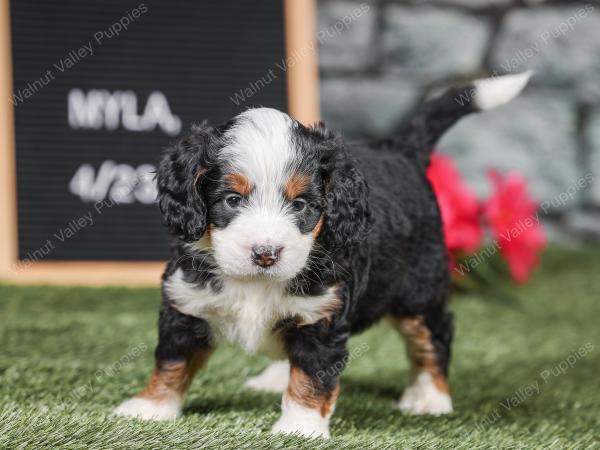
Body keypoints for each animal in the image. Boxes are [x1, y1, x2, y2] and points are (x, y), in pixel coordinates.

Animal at [115, 72, 532, 438]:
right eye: (232, 200)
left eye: (301, 205)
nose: (266, 253)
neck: (256, 284)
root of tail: (402, 152)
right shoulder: (187, 301)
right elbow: (172, 359)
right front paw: (151, 407)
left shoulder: (322, 316)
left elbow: (312, 377)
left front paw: (299, 428)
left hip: (419, 291)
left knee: (434, 336)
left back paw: (430, 398)